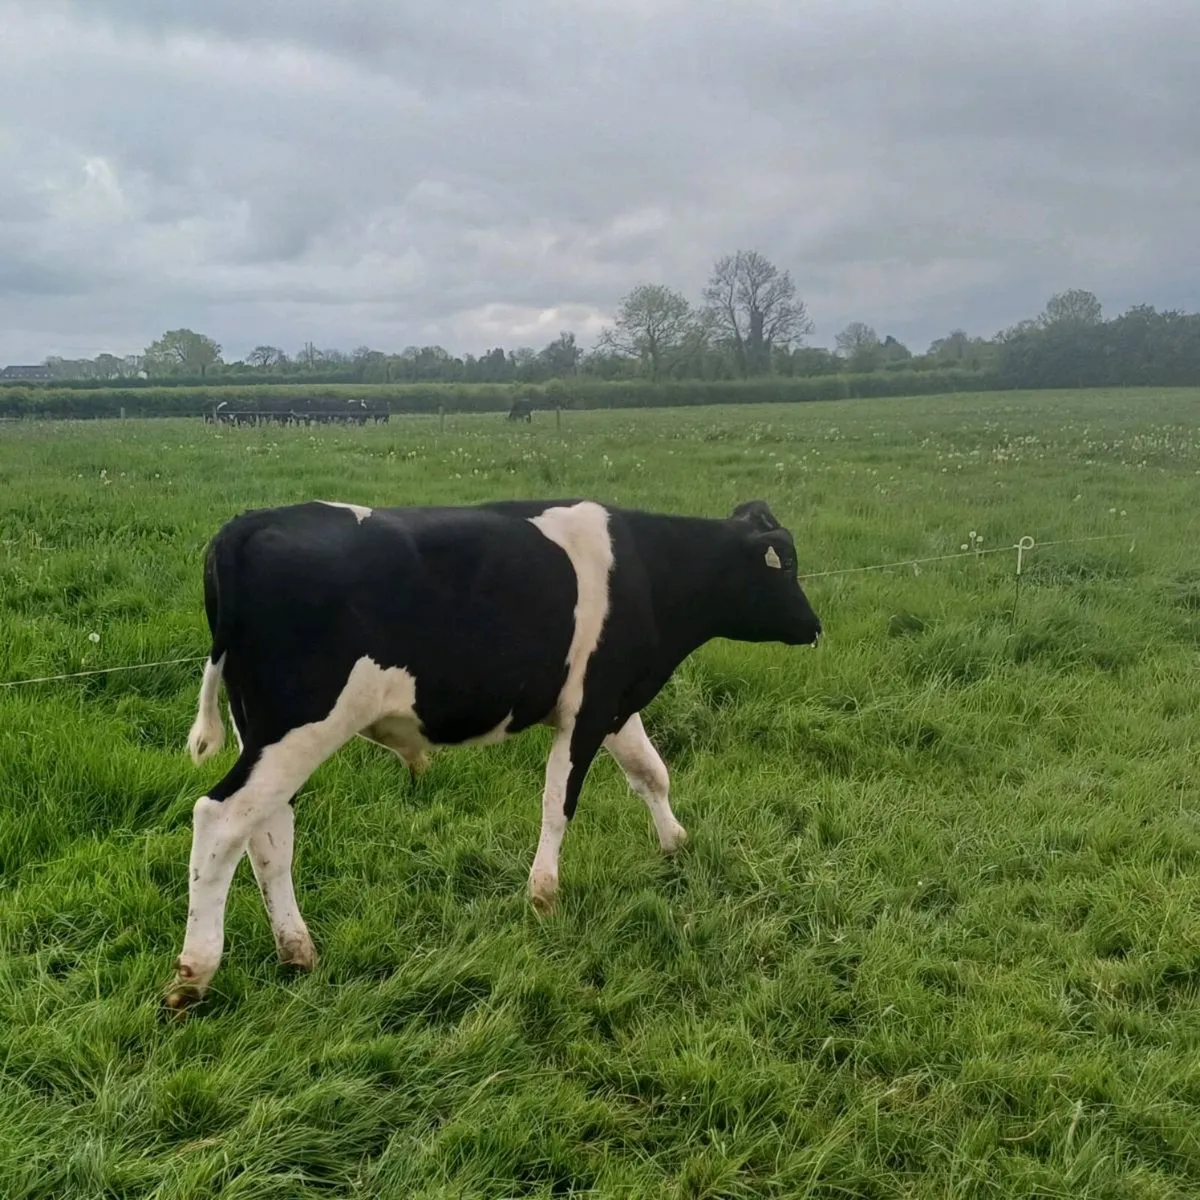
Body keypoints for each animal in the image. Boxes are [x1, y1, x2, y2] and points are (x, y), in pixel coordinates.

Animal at [166, 497, 822, 1010]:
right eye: (785, 566)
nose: (815, 627)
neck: (647, 568)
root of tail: (248, 524)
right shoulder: (590, 709)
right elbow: (559, 801)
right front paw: (544, 895)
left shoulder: (613, 701)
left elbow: (650, 772)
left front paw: (675, 845)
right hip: (302, 726)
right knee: (221, 818)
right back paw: (195, 975)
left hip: (265, 734)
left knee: (268, 832)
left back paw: (297, 951)